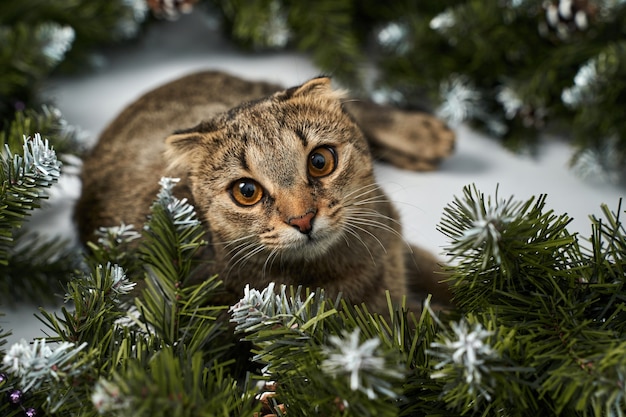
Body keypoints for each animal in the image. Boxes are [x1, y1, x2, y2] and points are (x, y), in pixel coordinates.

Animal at [75, 71, 450, 312]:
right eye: (246, 191)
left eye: (320, 161)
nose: (303, 219)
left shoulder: (392, 234)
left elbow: (436, 271)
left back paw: (424, 133)